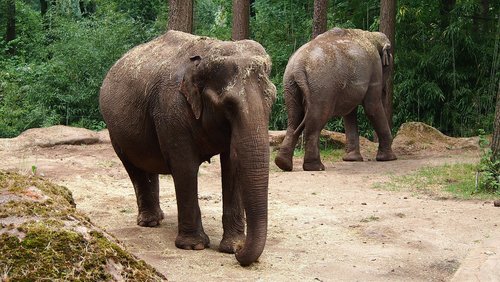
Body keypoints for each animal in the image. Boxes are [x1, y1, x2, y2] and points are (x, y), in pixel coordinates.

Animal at [98, 30, 278, 266]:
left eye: (273, 99)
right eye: (229, 105)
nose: (240, 254)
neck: (206, 56)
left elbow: (232, 166)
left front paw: (231, 247)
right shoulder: (171, 111)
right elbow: (185, 167)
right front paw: (195, 246)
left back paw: (159, 218)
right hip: (115, 131)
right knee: (133, 166)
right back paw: (149, 222)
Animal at [276, 27, 396, 171]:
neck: (370, 35)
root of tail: (298, 66)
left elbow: (349, 113)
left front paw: (352, 159)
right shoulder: (375, 67)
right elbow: (371, 106)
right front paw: (389, 159)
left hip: (290, 85)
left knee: (294, 119)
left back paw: (283, 163)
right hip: (321, 87)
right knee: (315, 121)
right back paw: (316, 167)